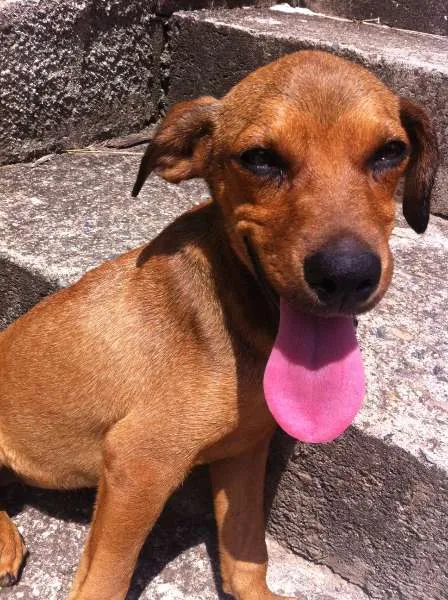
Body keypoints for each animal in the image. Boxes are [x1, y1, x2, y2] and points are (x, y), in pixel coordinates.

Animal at [0, 50, 438, 599]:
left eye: (390, 152)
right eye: (260, 158)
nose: (345, 276)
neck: (242, 316)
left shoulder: (245, 451)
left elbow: (246, 554)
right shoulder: (139, 461)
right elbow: (106, 579)